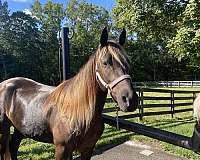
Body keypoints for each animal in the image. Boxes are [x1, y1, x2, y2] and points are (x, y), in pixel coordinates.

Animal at [0, 28, 138, 159]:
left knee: (13, 148)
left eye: (128, 62)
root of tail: (4, 84)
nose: (130, 99)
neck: (79, 111)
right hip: (3, 131)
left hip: (20, 129)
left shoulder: (88, 148)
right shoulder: (61, 149)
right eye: (105, 62)